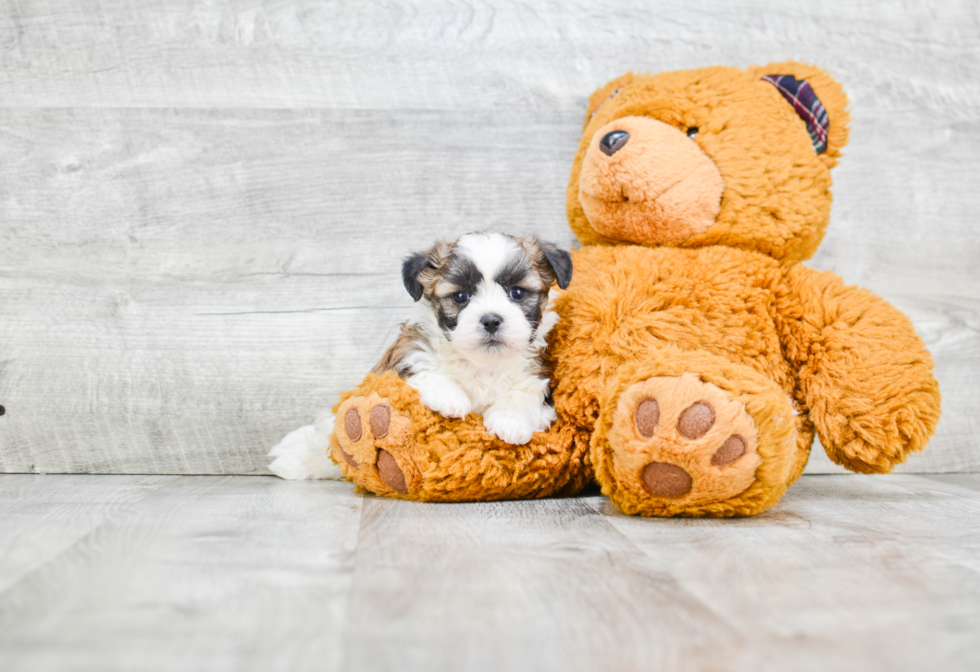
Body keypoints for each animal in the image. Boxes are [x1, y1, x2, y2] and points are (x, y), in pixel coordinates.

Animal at [268, 234, 576, 480]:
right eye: (461, 296)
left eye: (517, 292)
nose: (491, 320)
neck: (480, 363)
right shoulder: (404, 354)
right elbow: (421, 367)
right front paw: (449, 397)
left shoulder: (536, 378)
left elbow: (524, 393)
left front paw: (510, 420)